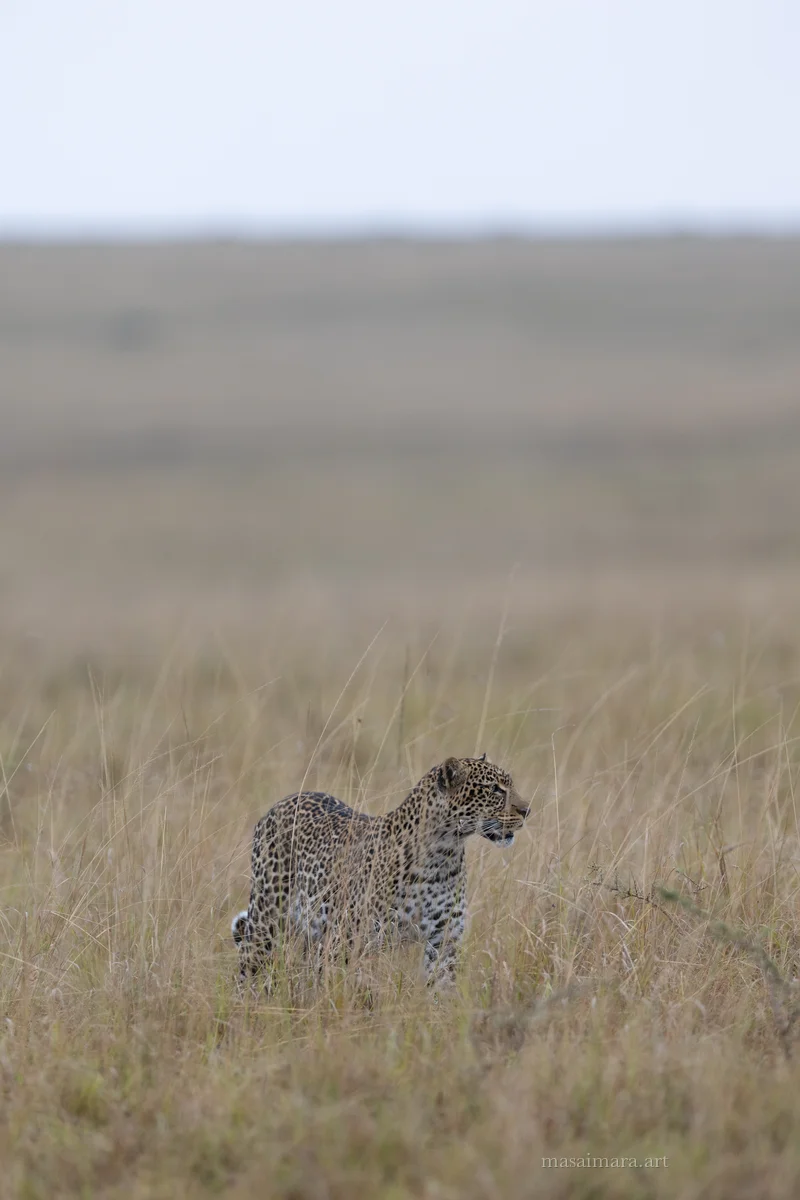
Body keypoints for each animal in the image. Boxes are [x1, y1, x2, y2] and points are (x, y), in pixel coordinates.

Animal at [231, 753, 529, 989]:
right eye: (494, 789)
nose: (527, 809)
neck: (443, 854)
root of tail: (284, 801)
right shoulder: (347, 940)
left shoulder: (444, 940)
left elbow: (442, 989)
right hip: (266, 918)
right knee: (248, 968)